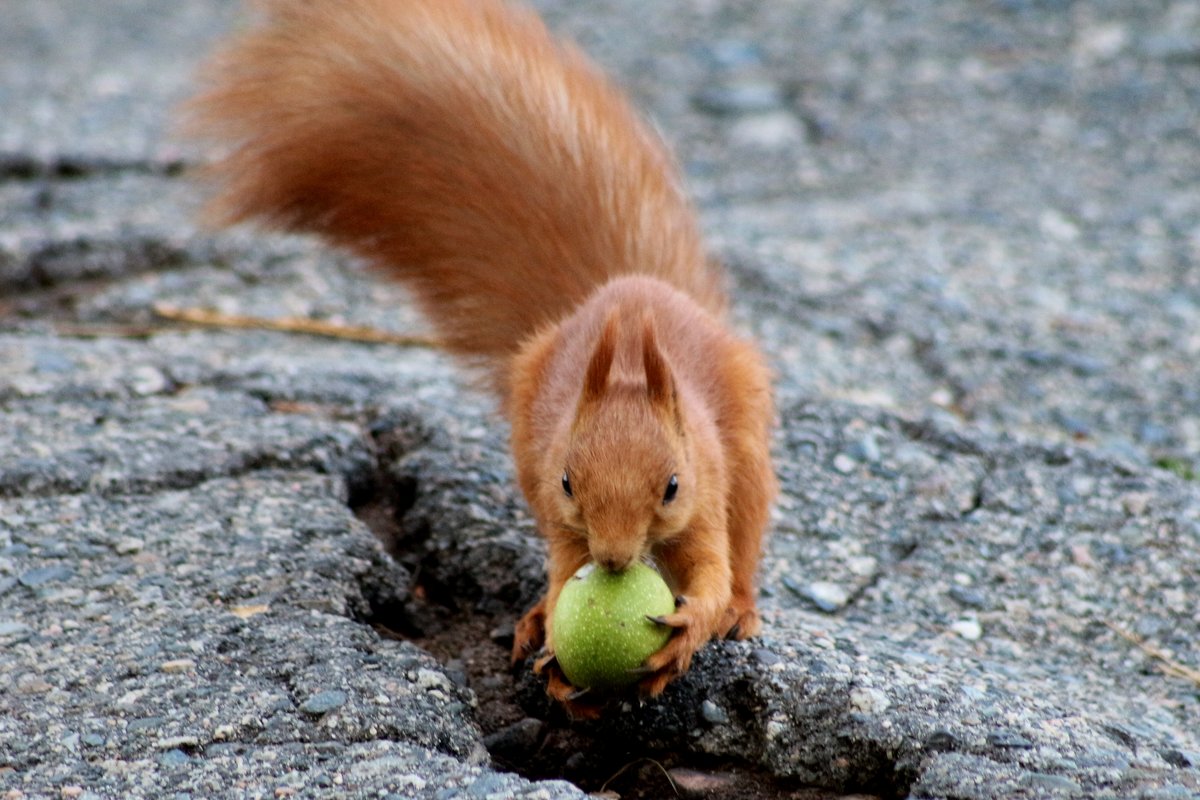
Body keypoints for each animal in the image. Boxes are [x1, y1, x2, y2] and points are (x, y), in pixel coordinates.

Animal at [181, 0, 772, 714]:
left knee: (747, 534)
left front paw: (693, 624)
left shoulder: (705, 486)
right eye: (569, 481)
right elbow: (561, 568)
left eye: (672, 486)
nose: (612, 560)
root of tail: (633, 285)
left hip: (746, 444)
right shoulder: (558, 508)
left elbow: (710, 567)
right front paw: (553, 637)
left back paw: (741, 609)